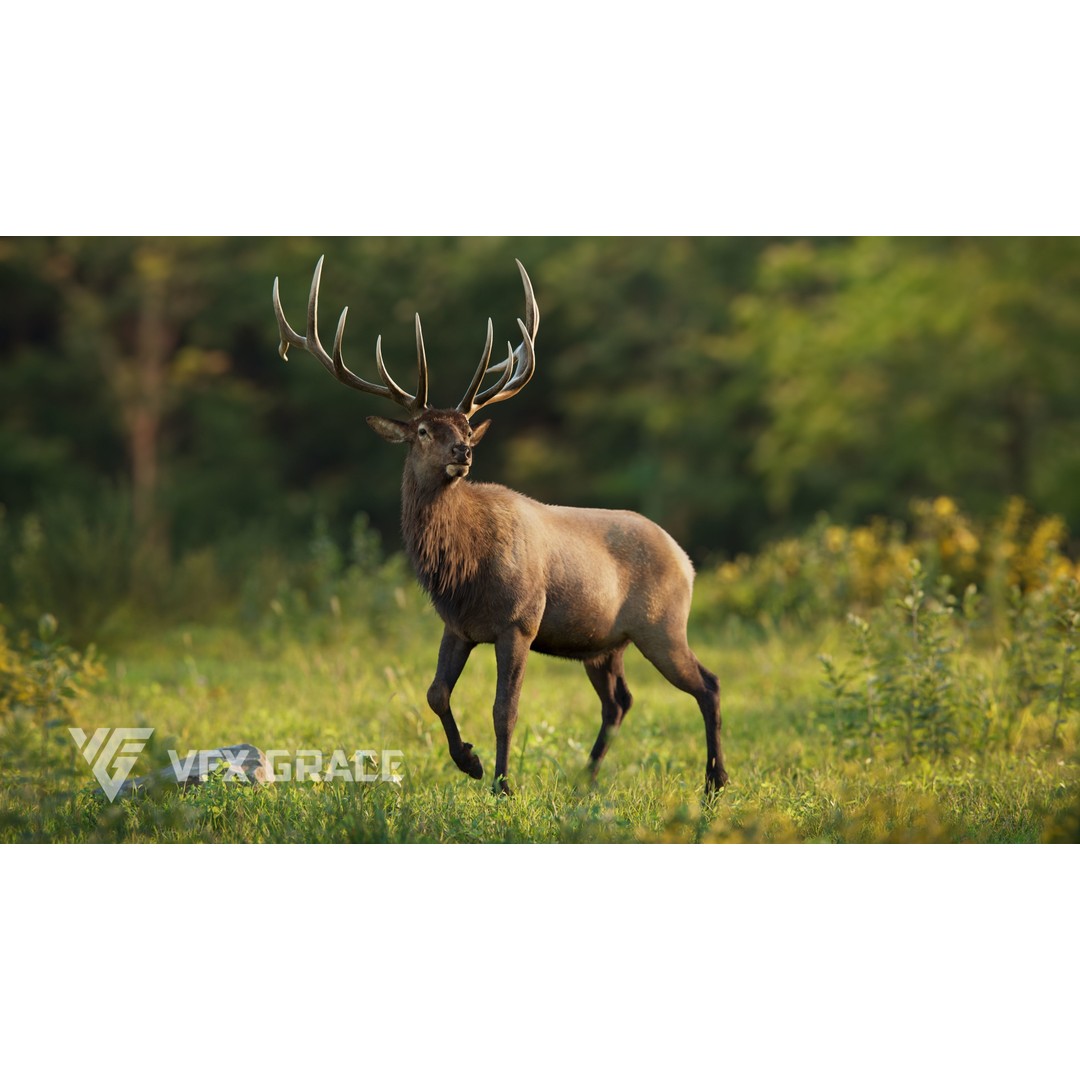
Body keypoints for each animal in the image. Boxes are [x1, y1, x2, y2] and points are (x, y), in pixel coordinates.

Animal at [272, 257, 727, 796]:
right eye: (422, 430)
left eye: (467, 427)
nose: (463, 452)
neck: (464, 571)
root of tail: (686, 559)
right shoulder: (458, 625)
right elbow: (435, 693)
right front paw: (469, 761)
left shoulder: (520, 620)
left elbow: (503, 709)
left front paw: (503, 785)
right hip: (602, 643)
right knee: (619, 701)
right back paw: (586, 780)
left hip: (662, 624)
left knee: (707, 684)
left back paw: (715, 781)